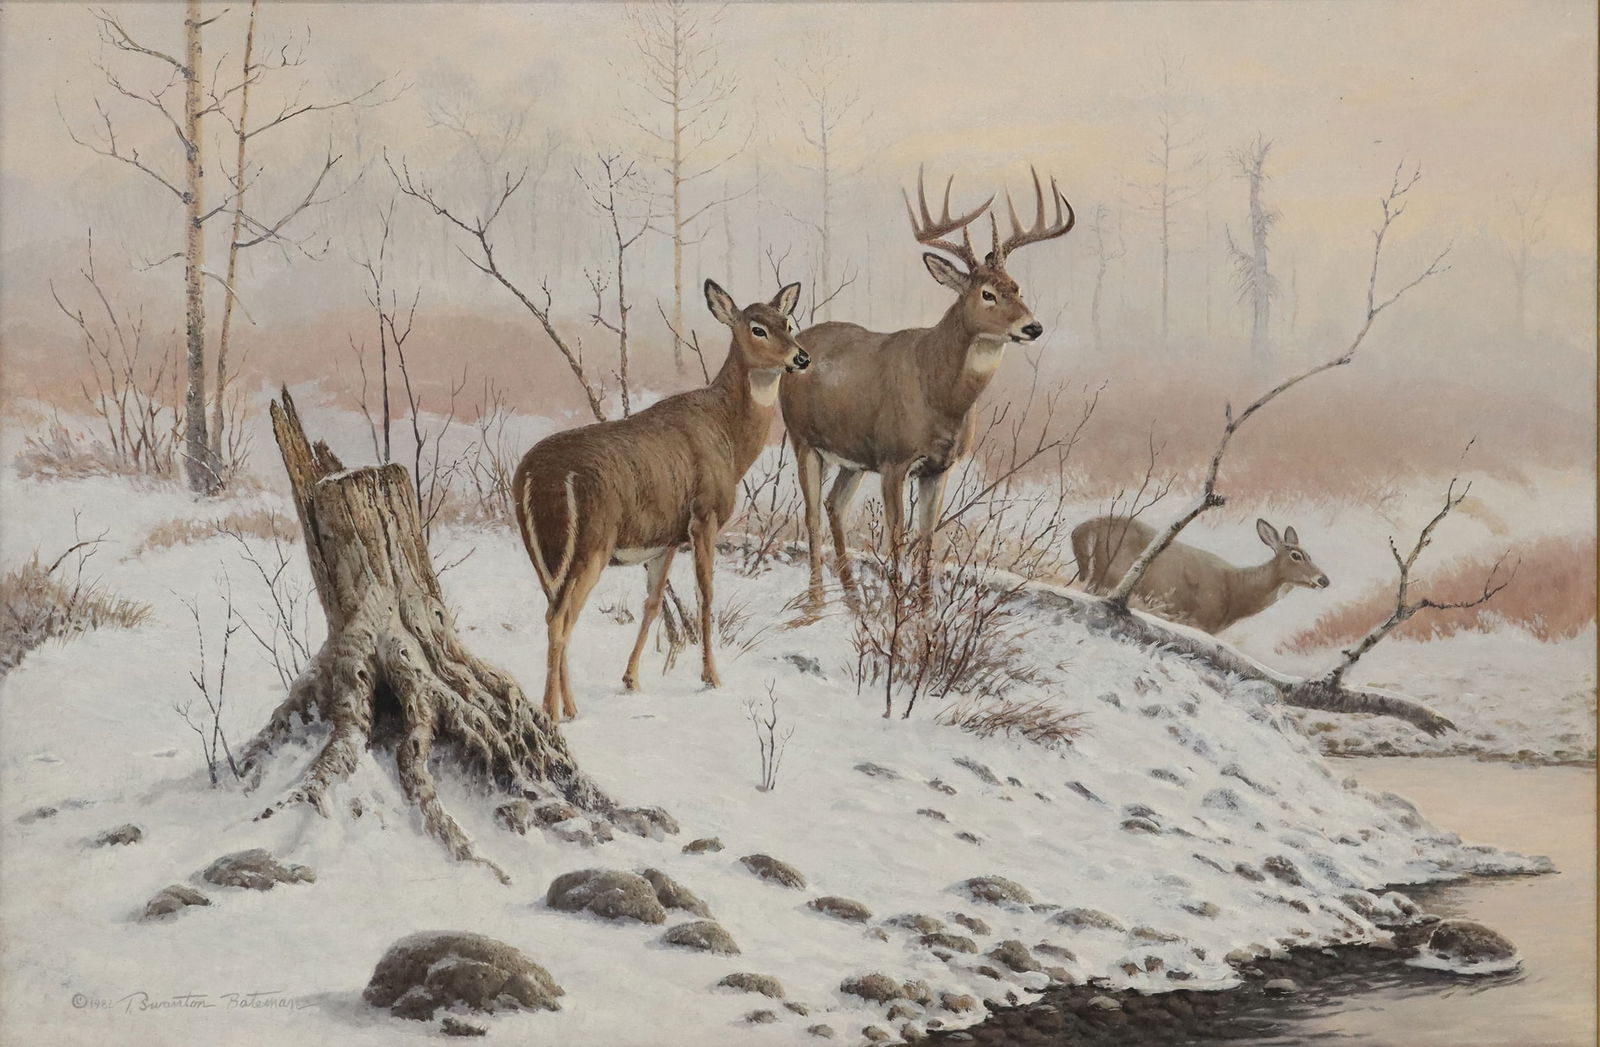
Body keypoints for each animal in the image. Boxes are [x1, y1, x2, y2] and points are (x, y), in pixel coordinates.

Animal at [513, 280, 808, 721]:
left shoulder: (665, 540)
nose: (801, 357)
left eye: (788, 322)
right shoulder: (704, 515)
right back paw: (554, 711)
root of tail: (535, 476)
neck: (730, 437)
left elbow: (652, 603)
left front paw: (631, 680)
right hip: (592, 542)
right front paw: (711, 677)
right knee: (561, 619)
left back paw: (570, 705)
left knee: (554, 611)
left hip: (544, 555)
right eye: (757, 328)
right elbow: (706, 595)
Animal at [780, 165, 1076, 612]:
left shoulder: (939, 467)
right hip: (803, 440)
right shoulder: (893, 459)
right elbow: (897, 537)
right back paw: (816, 599)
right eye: (986, 293)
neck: (939, 395)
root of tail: (795, 345)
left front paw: (922, 612)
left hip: (852, 458)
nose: (1033, 327)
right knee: (812, 512)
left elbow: (927, 538)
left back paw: (851, 597)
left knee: (834, 506)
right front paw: (898, 611)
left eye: (1017, 287)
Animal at [1071, 515, 1331, 634]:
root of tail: (1081, 530)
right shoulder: (1200, 621)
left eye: (1309, 554)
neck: (1237, 590)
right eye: (1296, 556)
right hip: (1107, 577)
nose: (1324, 580)